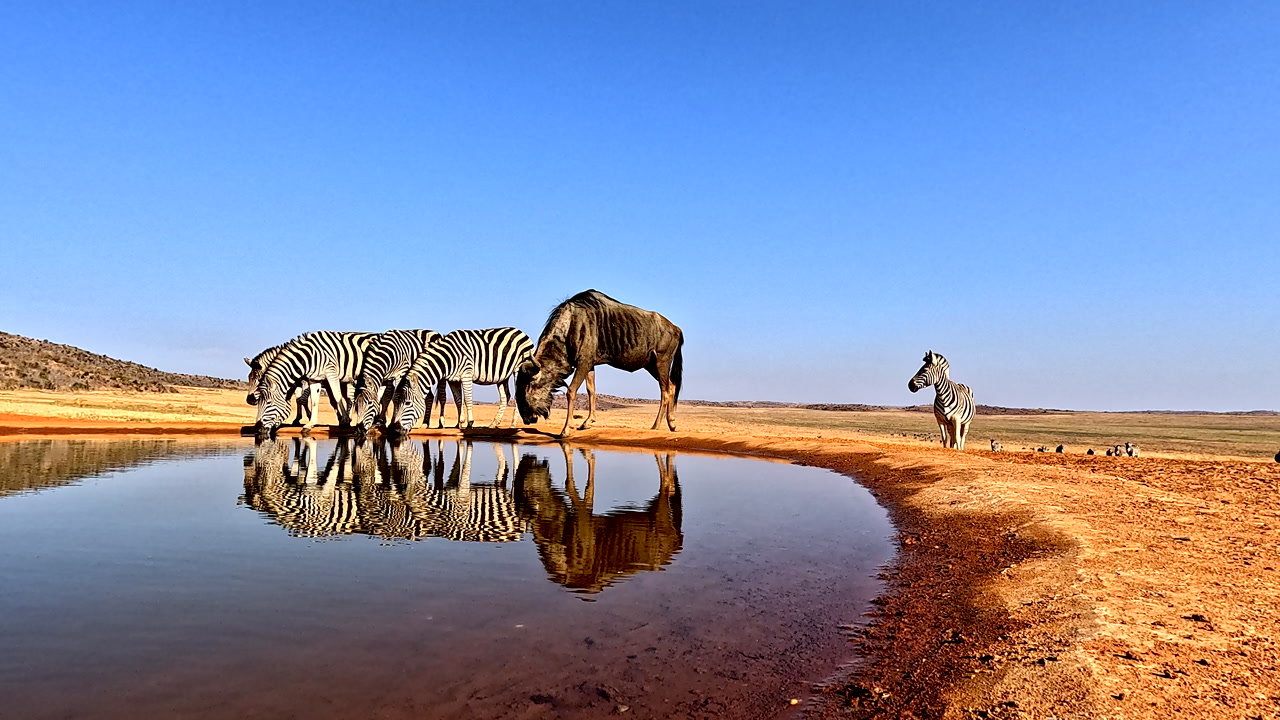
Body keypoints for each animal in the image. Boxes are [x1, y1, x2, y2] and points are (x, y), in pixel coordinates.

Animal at [390, 327, 534, 435]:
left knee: (518, 394)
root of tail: (521, 332)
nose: (396, 429)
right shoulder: (453, 380)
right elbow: (458, 400)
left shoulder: (466, 374)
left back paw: (512, 425)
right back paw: (494, 424)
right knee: (506, 396)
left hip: (519, 369)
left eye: (408, 403)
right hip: (502, 376)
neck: (448, 358)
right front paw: (459, 423)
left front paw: (470, 423)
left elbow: (468, 400)